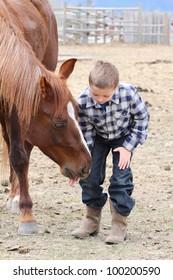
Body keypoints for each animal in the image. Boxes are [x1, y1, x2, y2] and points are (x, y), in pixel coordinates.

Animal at [0, 0, 92, 234]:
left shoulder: (17, 105)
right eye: (59, 124)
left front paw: (27, 216)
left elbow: (19, 156)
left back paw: (15, 197)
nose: (86, 165)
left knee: (23, 148)